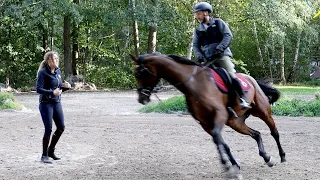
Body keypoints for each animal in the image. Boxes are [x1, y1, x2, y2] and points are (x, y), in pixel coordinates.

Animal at [130, 53, 288, 179]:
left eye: (139, 74)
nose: (141, 99)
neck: (193, 84)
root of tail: (251, 79)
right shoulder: (205, 123)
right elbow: (221, 143)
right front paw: (232, 167)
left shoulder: (219, 115)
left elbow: (218, 139)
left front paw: (229, 166)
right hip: (235, 122)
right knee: (256, 134)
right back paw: (266, 157)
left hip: (262, 111)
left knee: (274, 132)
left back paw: (282, 157)